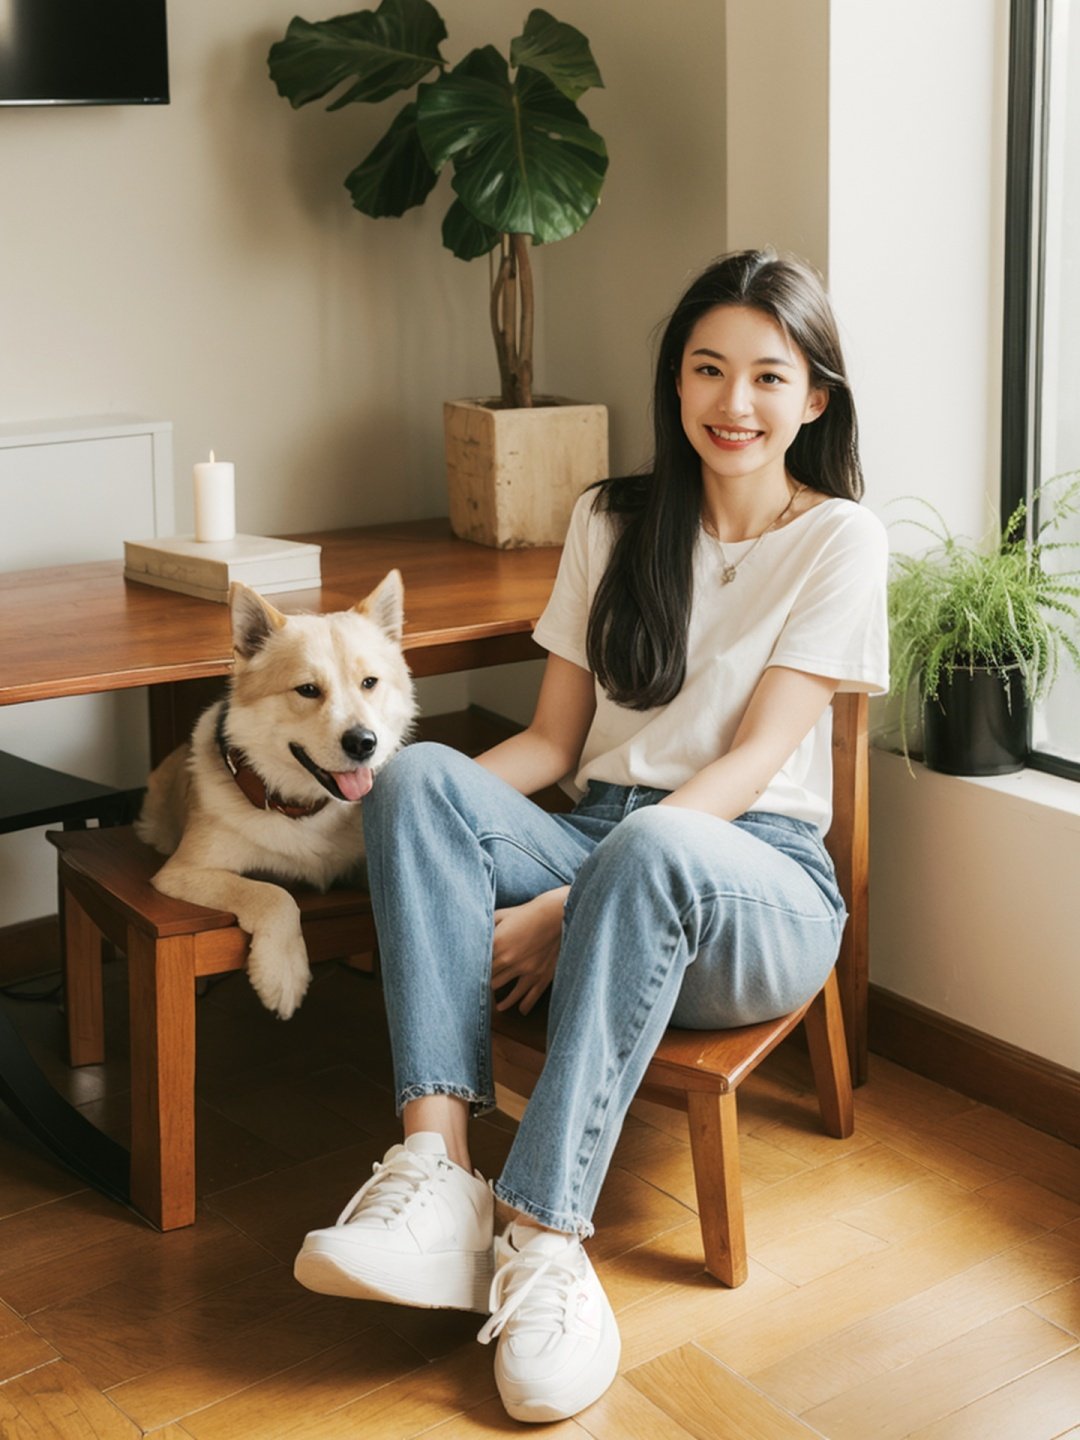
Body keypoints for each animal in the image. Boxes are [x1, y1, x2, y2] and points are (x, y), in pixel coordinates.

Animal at [137, 567, 417, 1019]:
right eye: (308, 690)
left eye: (369, 683)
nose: (363, 743)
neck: (303, 808)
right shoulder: (183, 872)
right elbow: (273, 893)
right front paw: (283, 972)